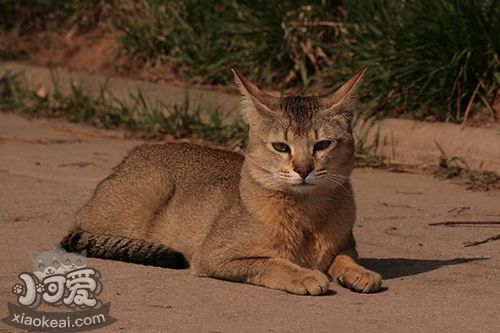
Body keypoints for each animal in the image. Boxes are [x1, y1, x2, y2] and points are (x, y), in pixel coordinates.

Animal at [62, 67, 382, 294]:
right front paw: (303, 275)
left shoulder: (346, 245)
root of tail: (133, 153)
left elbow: (344, 258)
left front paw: (359, 273)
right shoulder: (213, 256)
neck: (307, 216)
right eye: (281, 147)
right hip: (147, 191)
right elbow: (268, 262)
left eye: (322, 145)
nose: (303, 170)